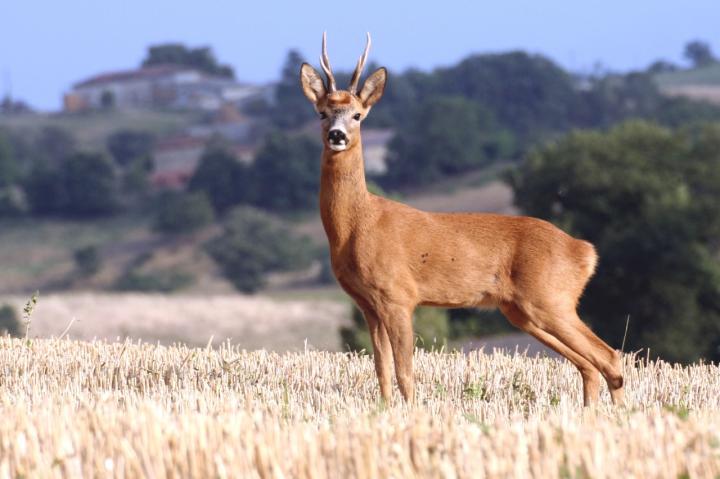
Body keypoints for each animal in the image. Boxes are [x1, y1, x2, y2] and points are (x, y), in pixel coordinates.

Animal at [298, 32, 624, 408]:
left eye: (358, 115)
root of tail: (585, 251)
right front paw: (385, 410)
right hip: (523, 310)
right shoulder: (368, 303)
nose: (337, 135)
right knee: (589, 365)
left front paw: (412, 412)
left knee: (609, 356)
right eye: (322, 113)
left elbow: (405, 372)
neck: (357, 225)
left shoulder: (398, 295)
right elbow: (381, 370)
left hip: (550, 299)